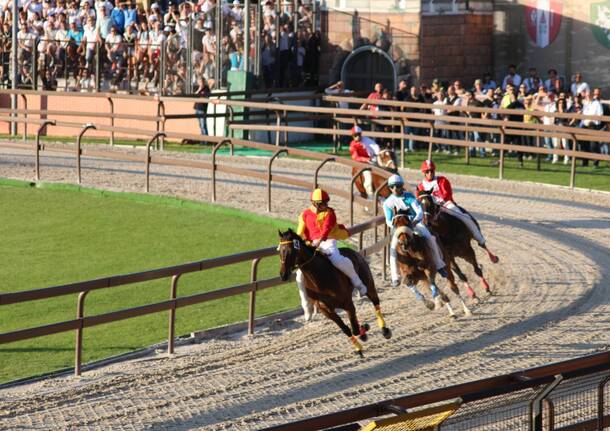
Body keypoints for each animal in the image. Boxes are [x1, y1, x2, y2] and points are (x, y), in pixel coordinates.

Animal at [278, 230, 392, 358]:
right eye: (279, 252)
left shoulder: (348, 304)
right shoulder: (326, 310)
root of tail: (354, 251)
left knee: (376, 302)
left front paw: (364, 330)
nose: (283, 275)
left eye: (290, 251)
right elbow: (346, 329)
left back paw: (385, 330)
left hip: (368, 284)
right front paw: (359, 347)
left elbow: (355, 329)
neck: (319, 279)